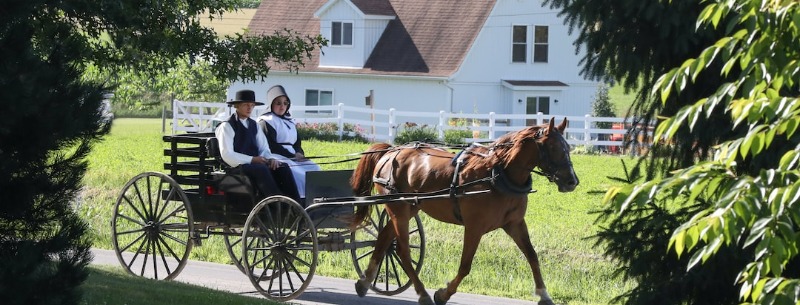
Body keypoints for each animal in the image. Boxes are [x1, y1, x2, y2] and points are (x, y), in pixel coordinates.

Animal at [346, 117, 580, 304]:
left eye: (568, 147)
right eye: (554, 148)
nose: (572, 181)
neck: (498, 173)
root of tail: (390, 151)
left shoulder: (514, 223)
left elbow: (532, 256)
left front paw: (544, 294)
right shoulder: (474, 226)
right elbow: (465, 265)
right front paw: (443, 294)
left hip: (410, 207)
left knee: (385, 237)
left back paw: (365, 282)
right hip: (399, 209)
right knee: (403, 250)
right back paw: (422, 293)